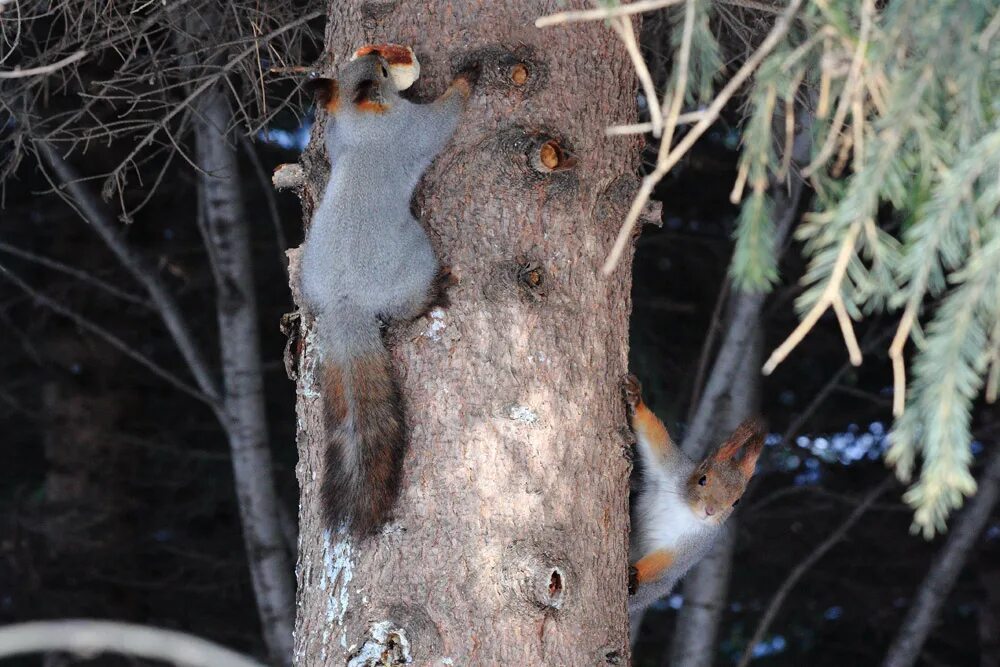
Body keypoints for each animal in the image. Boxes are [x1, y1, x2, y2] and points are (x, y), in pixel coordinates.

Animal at [300, 45, 476, 536]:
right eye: (379, 70)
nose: (380, 50)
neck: (360, 121)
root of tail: (345, 303)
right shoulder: (407, 128)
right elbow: (440, 121)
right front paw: (467, 78)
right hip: (414, 254)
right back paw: (432, 293)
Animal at [624, 376, 764, 628]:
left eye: (736, 502)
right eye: (703, 478)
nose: (710, 511)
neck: (685, 509)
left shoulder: (696, 544)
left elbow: (665, 566)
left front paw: (634, 574)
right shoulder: (672, 467)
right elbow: (654, 435)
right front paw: (636, 398)